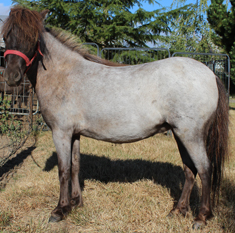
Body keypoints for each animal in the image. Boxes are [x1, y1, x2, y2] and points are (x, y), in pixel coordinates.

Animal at [1, 7, 229, 229]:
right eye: (5, 36)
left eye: (33, 38)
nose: (11, 76)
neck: (64, 74)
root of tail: (210, 73)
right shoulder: (74, 133)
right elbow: (75, 166)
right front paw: (76, 203)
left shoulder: (61, 133)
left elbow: (63, 170)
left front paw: (60, 210)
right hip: (180, 134)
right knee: (190, 170)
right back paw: (178, 210)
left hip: (191, 135)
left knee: (204, 169)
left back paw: (201, 217)